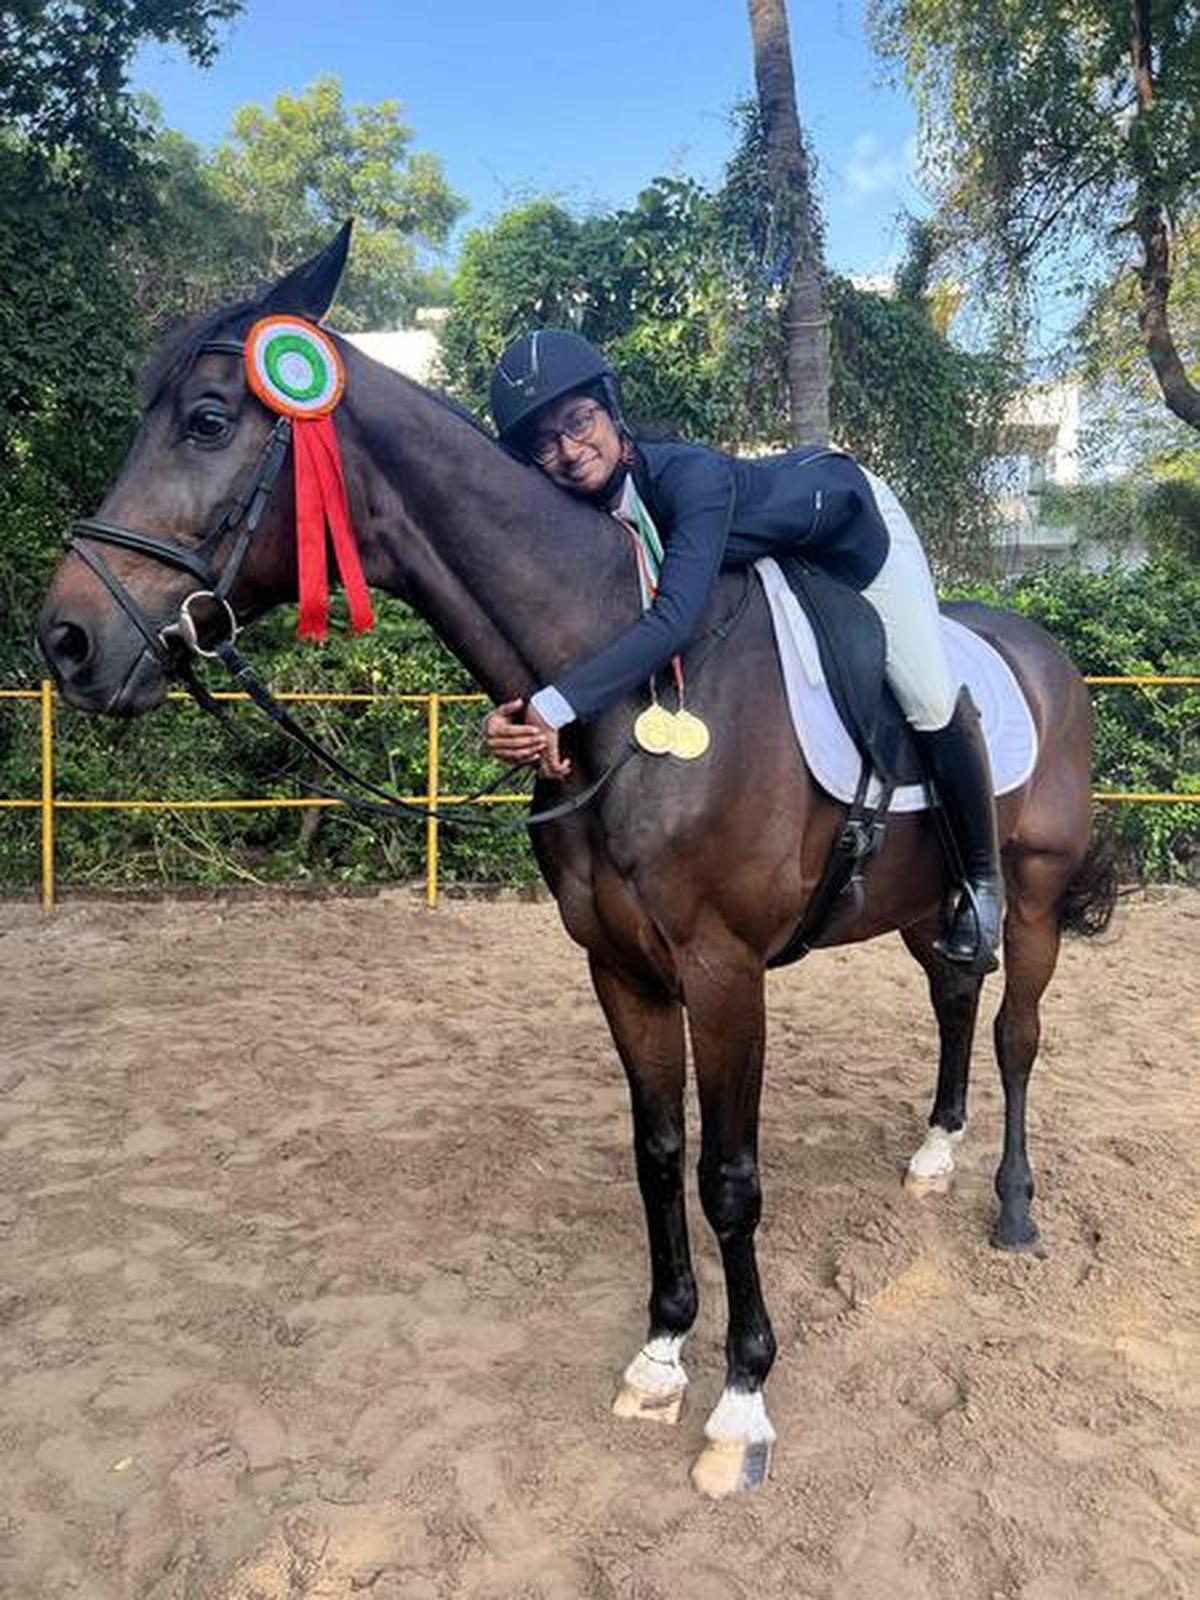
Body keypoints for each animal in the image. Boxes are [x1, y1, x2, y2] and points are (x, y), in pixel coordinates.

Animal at [37, 229, 1116, 1497]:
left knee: (1014, 1032)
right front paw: (661, 1354)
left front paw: (741, 1401)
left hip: (1029, 895)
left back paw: (1011, 1204)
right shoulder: (622, 968)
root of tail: (1046, 652)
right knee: (954, 992)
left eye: (208, 420)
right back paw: (936, 1154)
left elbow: (730, 1176)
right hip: (919, 901)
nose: (66, 640)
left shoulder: (722, 974)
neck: (623, 679)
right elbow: (657, 1154)